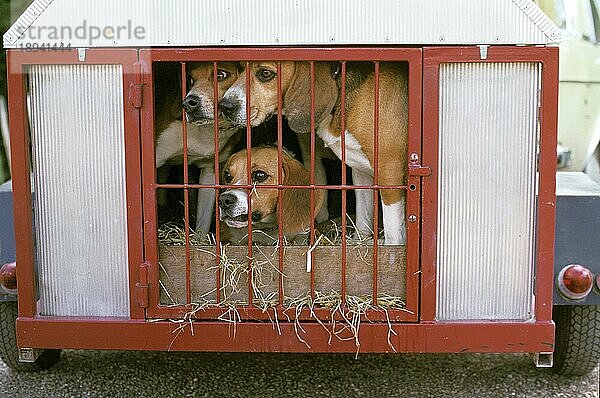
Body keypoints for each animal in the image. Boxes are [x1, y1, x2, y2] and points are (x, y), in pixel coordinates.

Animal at [155, 61, 244, 235]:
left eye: (220, 74)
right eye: (189, 79)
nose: (188, 103)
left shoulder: (210, 172)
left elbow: (203, 222)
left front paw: (199, 239)